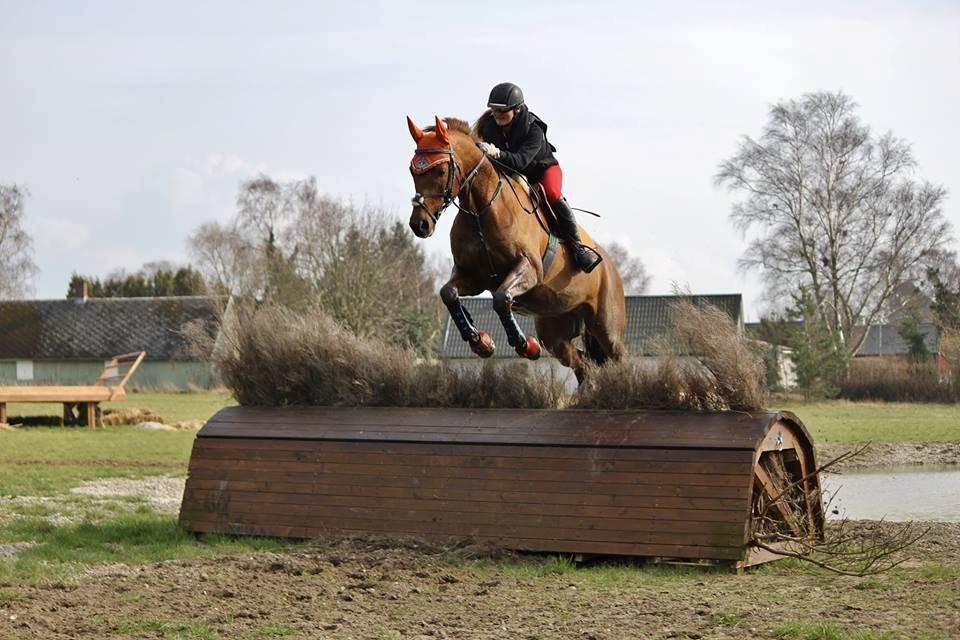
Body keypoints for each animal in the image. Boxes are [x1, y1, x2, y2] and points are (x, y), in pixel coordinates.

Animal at [404, 115, 624, 380]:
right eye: (412, 170)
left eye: (441, 170)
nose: (419, 225)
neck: (481, 210)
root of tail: (611, 266)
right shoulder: (474, 277)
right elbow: (449, 294)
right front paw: (481, 342)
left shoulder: (528, 270)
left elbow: (501, 299)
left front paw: (526, 345)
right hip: (556, 330)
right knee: (582, 365)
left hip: (606, 326)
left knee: (618, 357)